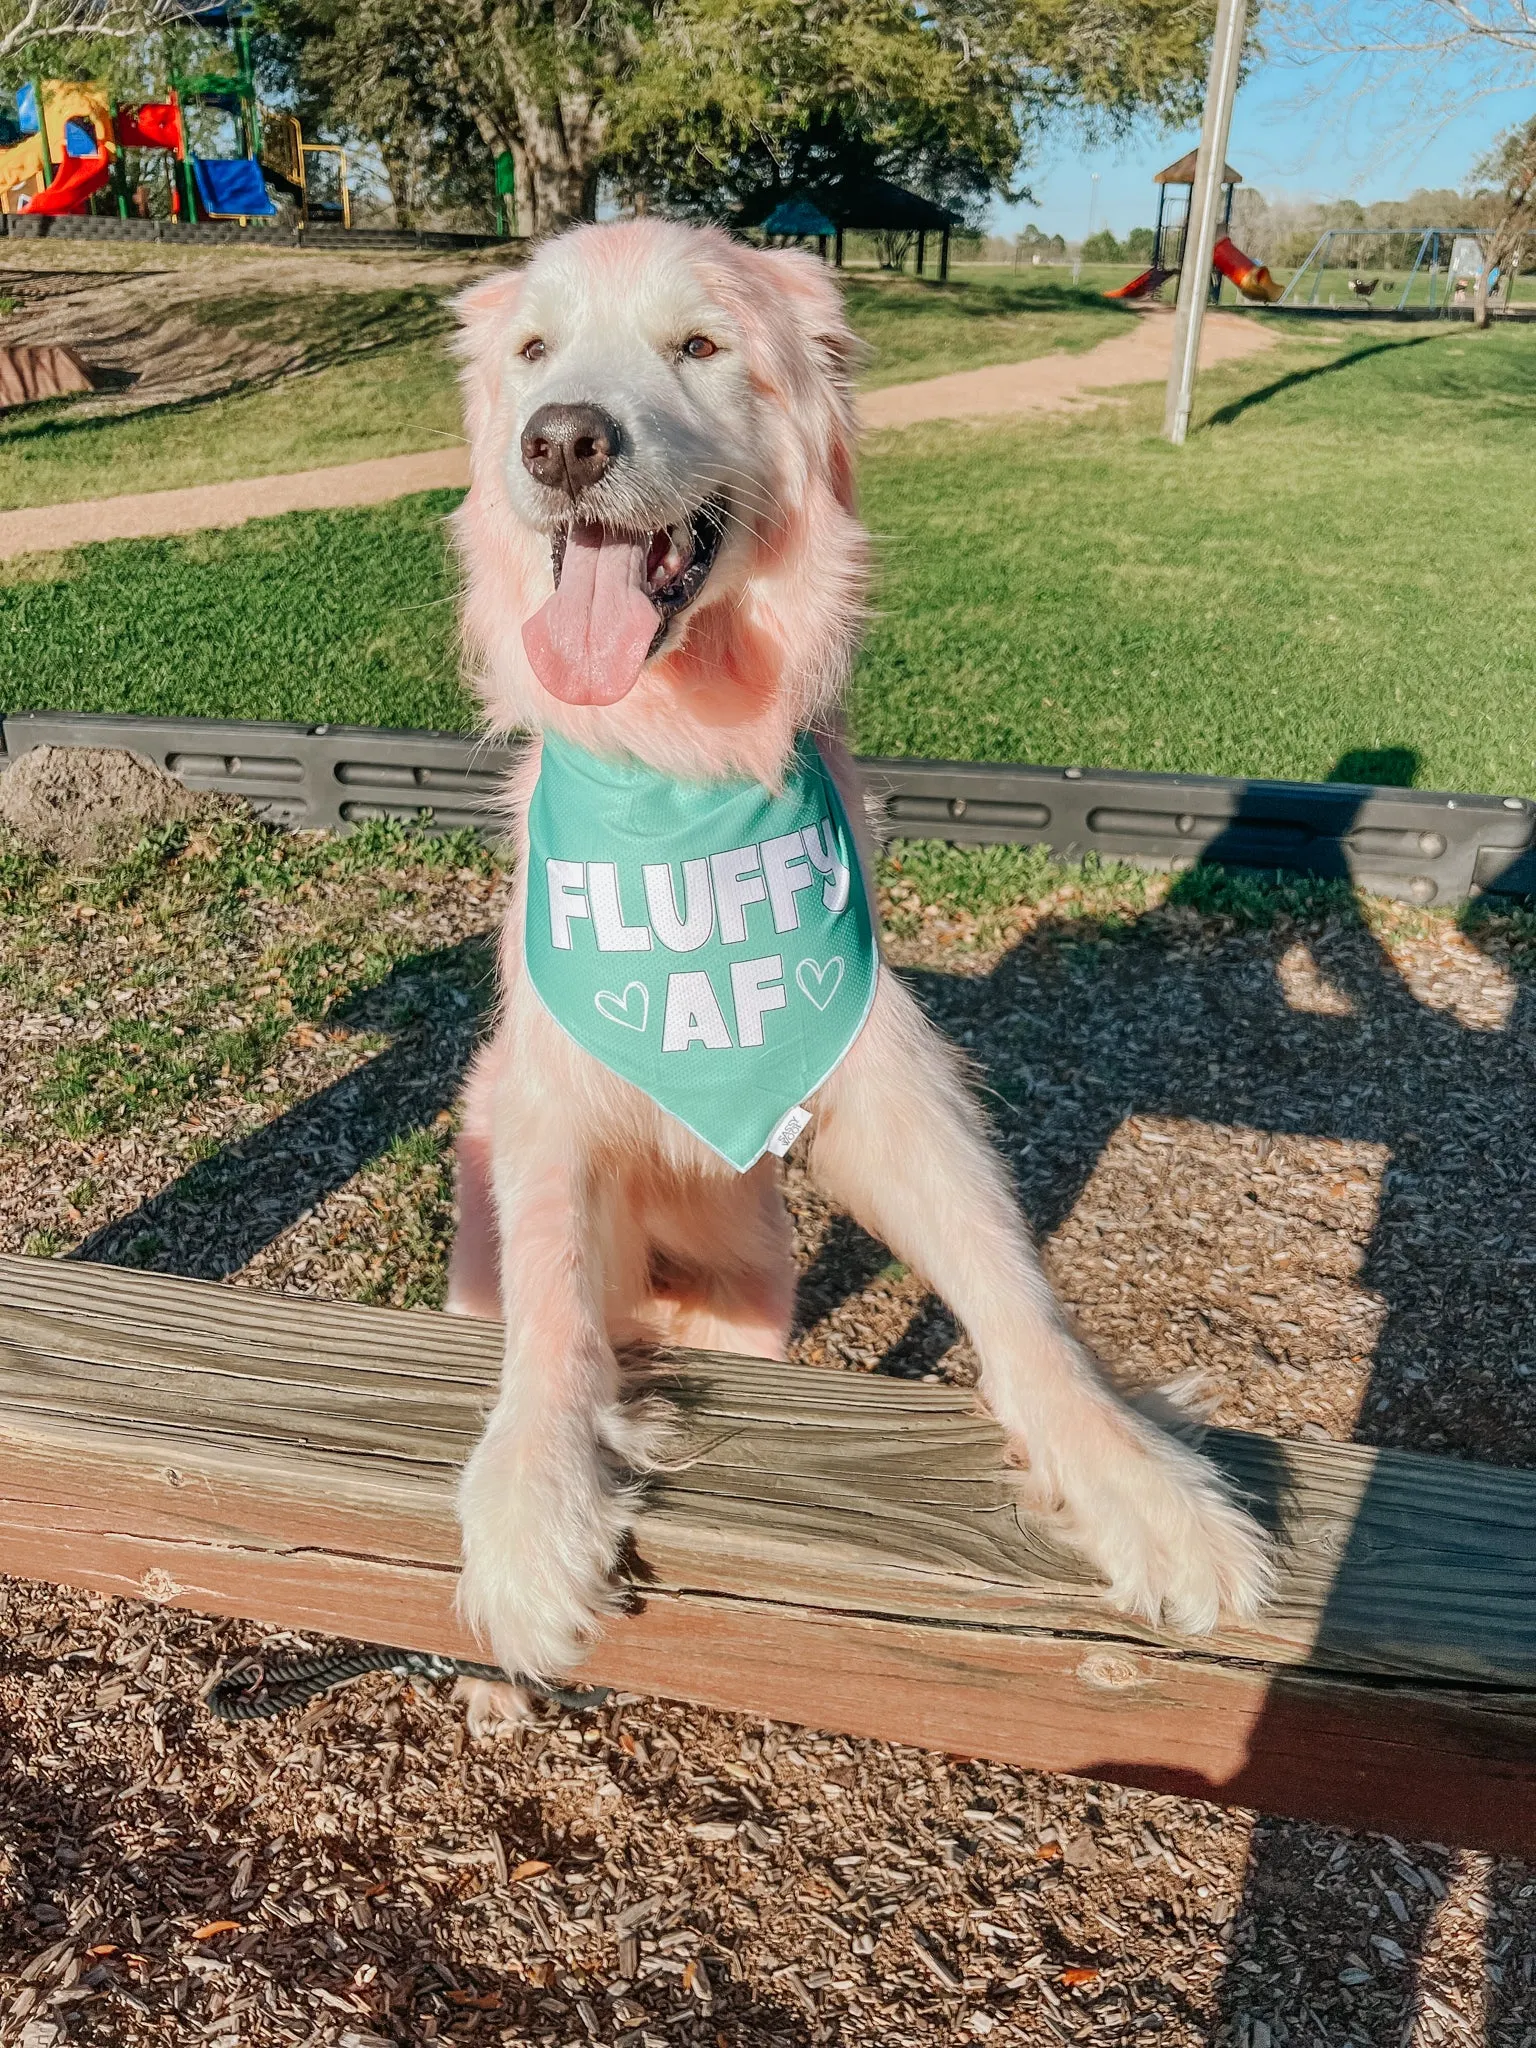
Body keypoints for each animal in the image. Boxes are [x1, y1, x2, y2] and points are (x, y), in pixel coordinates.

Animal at [438, 220, 1269, 1728]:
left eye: (700, 346)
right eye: (532, 350)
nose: (564, 442)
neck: (679, 766)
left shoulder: (885, 1072)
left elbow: (1014, 1290)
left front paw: (1141, 1481)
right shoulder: (549, 1103)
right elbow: (555, 1310)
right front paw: (533, 1502)